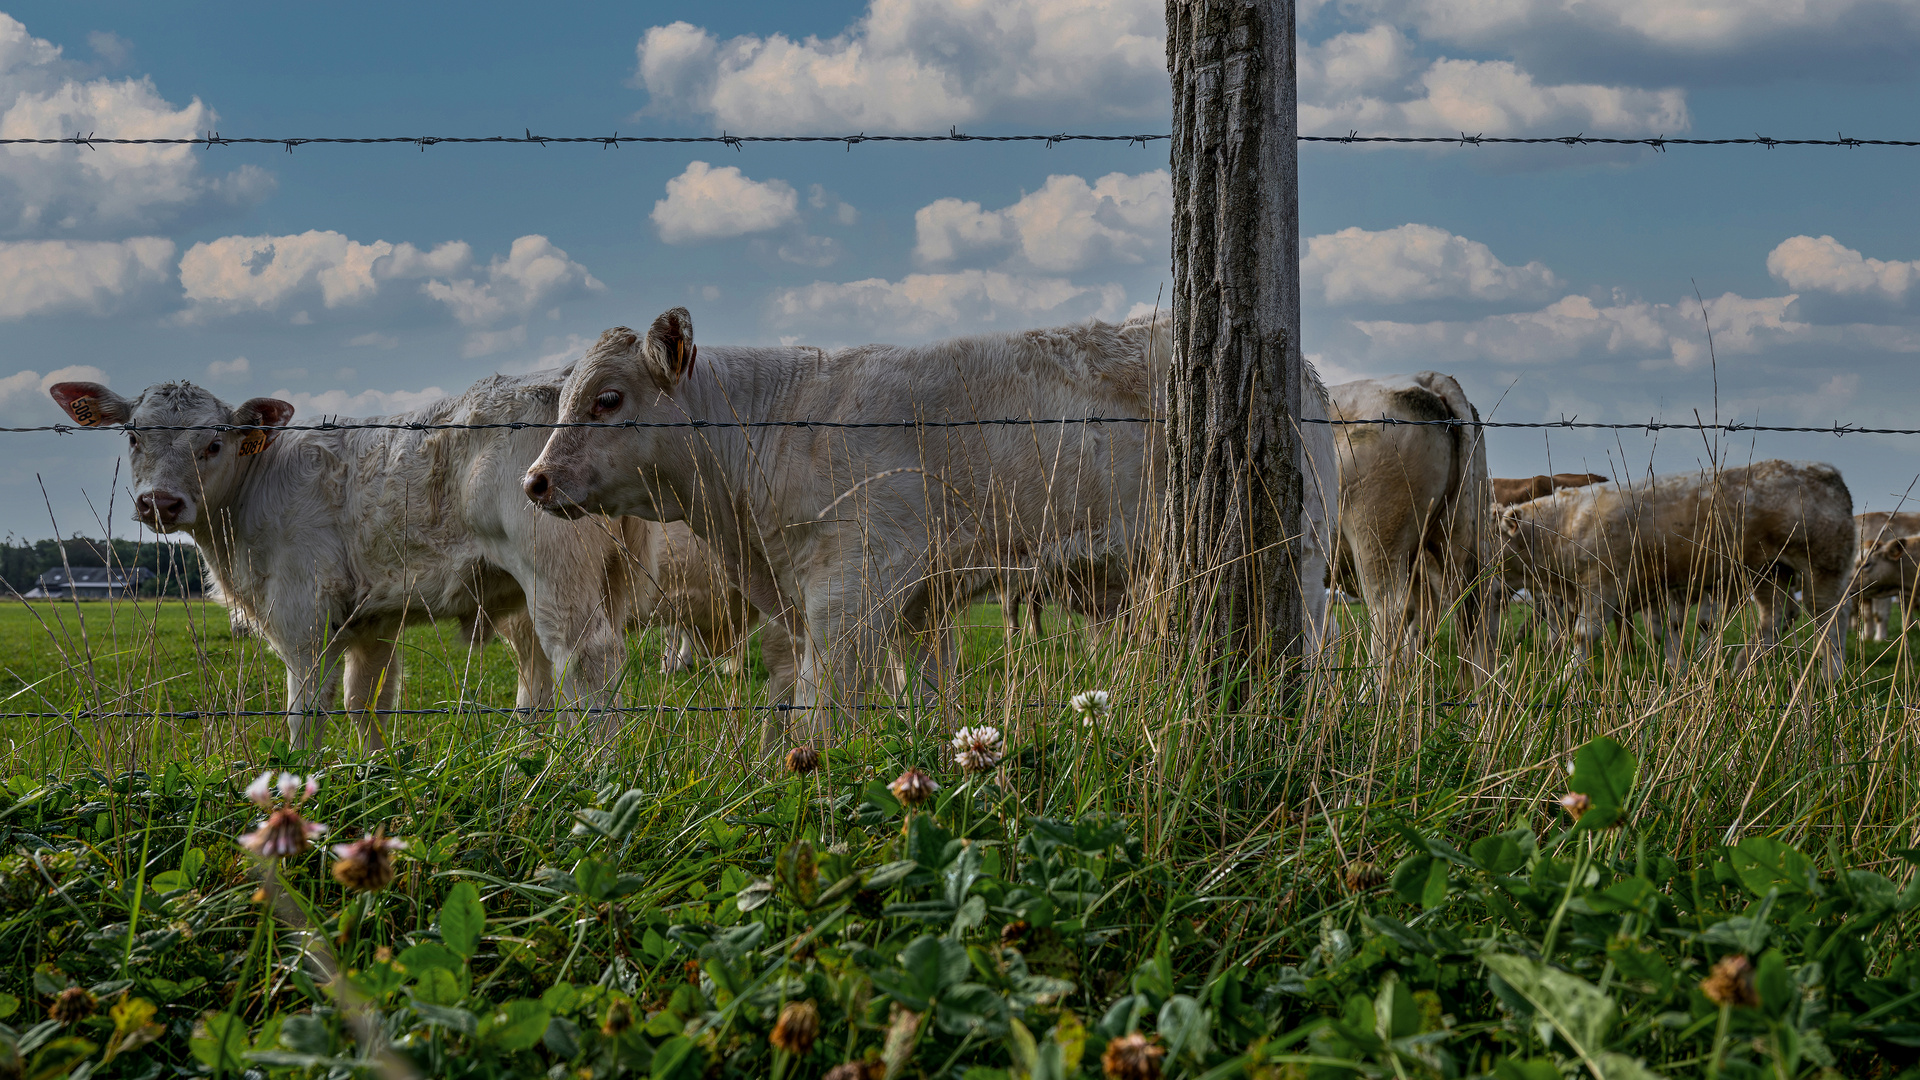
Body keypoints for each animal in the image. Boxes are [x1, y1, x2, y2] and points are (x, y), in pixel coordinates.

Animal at [1328, 368, 1489, 680]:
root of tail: (1428, 378)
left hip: (1376, 533)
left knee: (1390, 613)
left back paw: (1374, 692)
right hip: (1459, 534)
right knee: (1470, 612)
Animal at [1489, 461, 1850, 676]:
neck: (1564, 524)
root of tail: (1824, 470)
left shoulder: (1601, 584)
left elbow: (1583, 634)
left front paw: (1567, 678)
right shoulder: (1653, 588)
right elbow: (1667, 631)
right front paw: (1678, 670)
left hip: (1821, 569)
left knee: (1830, 620)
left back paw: (1830, 676)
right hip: (1768, 571)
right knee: (1775, 617)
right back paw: (1741, 669)